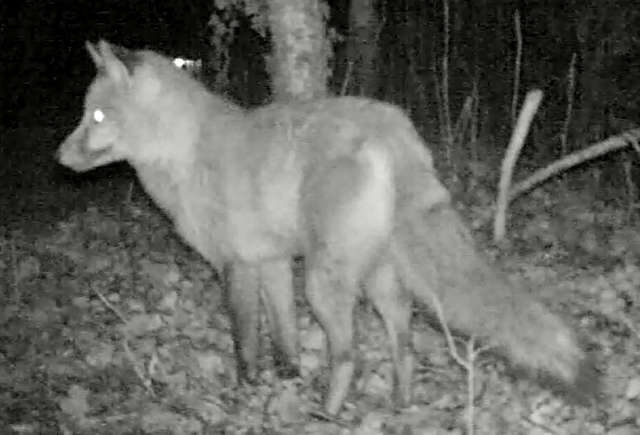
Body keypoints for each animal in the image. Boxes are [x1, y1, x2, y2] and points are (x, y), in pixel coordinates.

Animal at [57, 40, 596, 415]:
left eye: (97, 115)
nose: (59, 159)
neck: (186, 156)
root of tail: (391, 124)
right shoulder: (272, 262)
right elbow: (285, 336)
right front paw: (288, 378)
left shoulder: (235, 264)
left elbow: (245, 342)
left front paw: (247, 392)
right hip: (378, 277)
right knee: (403, 342)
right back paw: (400, 403)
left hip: (323, 280)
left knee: (348, 355)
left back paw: (328, 413)